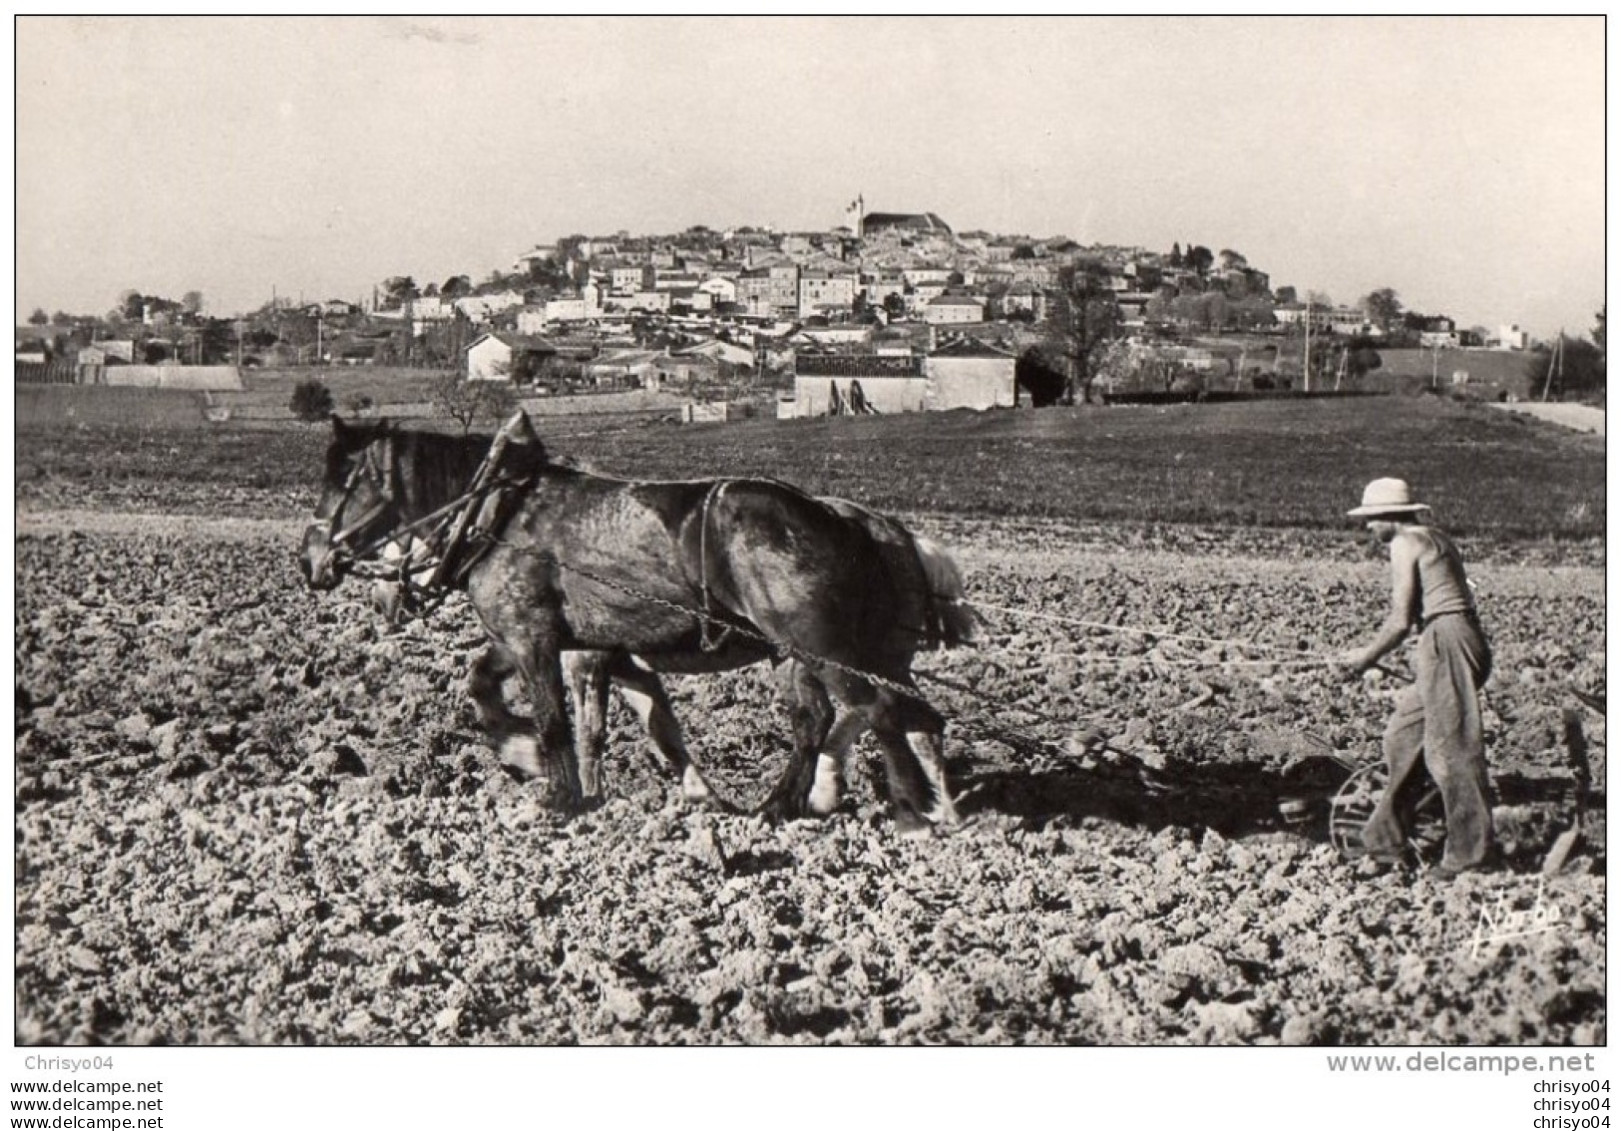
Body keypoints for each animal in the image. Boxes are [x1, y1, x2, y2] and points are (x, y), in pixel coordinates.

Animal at [299, 414, 979, 829]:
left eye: (343, 483)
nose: (310, 560)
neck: (501, 512)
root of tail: (849, 521)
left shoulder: (539, 640)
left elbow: (559, 721)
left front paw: (556, 794)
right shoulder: (546, 641)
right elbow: (493, 688)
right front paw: (524, 755)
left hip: (820, 646)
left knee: (879, 712)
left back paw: (906, 808)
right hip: (801, 654)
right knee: (836, 720)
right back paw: (787, 805)